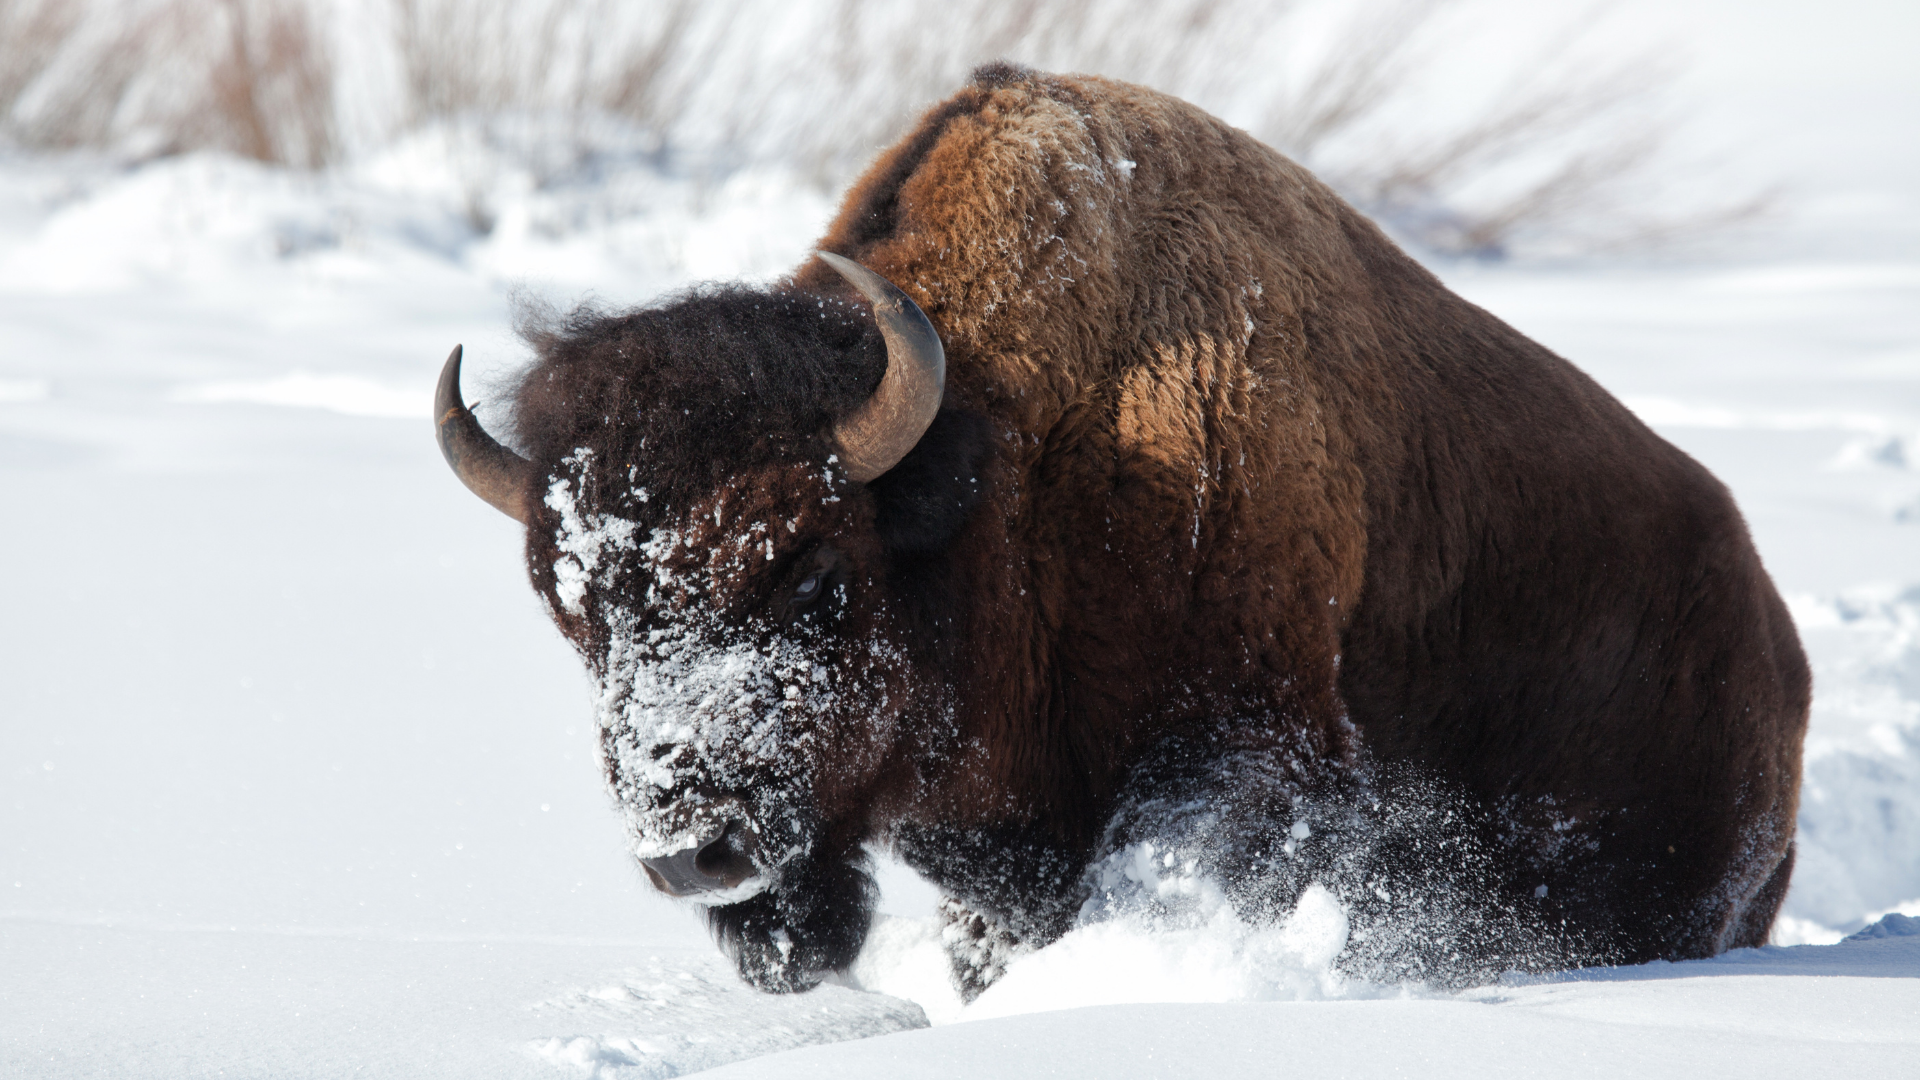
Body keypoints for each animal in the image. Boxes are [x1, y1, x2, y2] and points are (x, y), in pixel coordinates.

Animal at [432, 67, 1797, 991]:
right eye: (579, 615)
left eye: (817, 578)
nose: (692, 850)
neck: (1004, 463)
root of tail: (1771, 635)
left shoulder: (1237, 750)